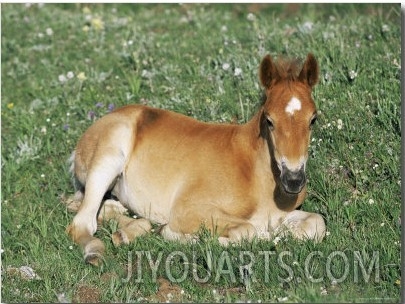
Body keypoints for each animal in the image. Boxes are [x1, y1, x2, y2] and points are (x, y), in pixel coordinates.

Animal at [66, 53, 326, 264]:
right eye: (270, 120)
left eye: (313, 119)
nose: (293, 180)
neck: (254, 172)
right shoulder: (187, 209)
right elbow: (247, 230)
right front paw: (180, 235)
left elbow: (316, 223)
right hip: (109, 156)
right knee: (81, 223)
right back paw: (97, 251)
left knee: (94, 205)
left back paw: (127, 231)